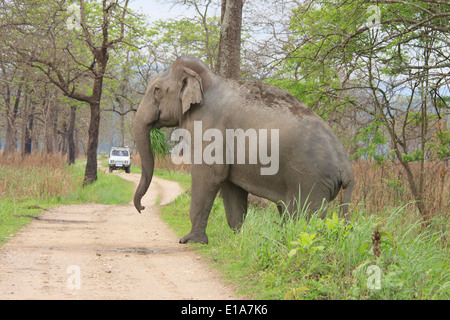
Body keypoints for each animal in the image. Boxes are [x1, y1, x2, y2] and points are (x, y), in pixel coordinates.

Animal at [134, 55, 356, 245]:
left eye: (157, 89)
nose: (143, 208)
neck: (206, 78)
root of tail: (347, 168)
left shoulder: (209, 126)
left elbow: (210, 174)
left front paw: (189, 240)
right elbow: (231, 186)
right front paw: (237, 241)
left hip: (311, 182)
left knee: (304, 218)